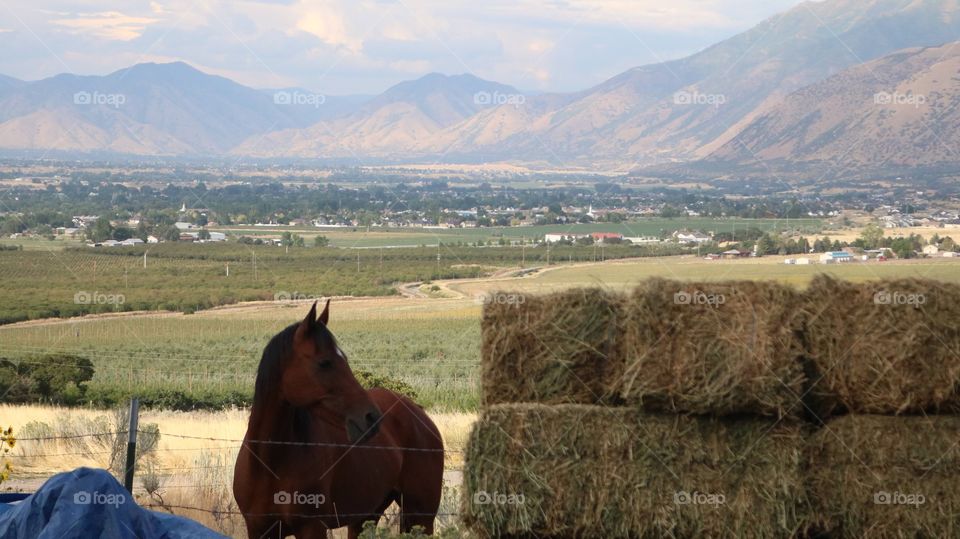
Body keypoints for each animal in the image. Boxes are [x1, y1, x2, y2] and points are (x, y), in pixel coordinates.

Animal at [233, 300, 445, 538]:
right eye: (325, 363)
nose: (371, 417)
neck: (269, 464)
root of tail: (420, 415)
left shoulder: (312, 528)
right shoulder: (259, 529)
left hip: (421, 516)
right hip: (366, 516)